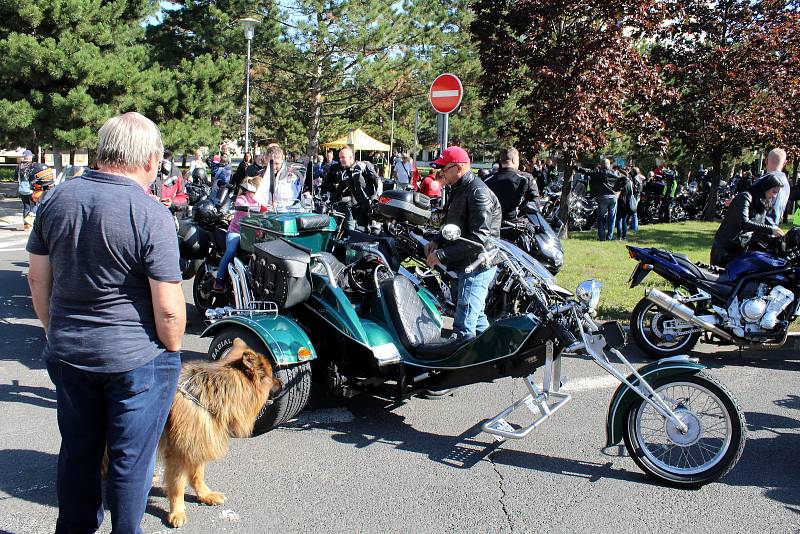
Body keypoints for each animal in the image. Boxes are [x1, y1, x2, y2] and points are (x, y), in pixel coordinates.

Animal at [159, 340, 282, 528]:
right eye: (272, 375)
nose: (283, 384)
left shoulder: (199, 440)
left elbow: (197, 474)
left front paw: (205, 495)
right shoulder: (179, 452)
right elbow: (178, 485)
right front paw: (177, 511)